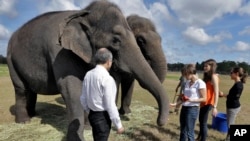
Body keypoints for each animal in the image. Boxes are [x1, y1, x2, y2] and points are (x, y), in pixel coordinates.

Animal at [6, 0, 169, 140]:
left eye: (137, 41)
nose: (160, 123)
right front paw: (80, 135)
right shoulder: (59, 51)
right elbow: (71, 89)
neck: (83, 14)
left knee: (30, 90)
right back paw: (24, 121)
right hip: (10, 59)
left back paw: (32, 115)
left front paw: (89, 127)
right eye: (115, 40)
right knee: (20, 89)